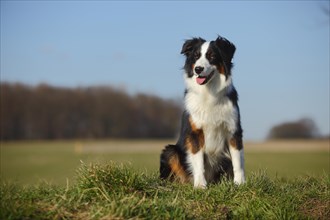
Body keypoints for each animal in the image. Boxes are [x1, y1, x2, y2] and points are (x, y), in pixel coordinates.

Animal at [159, 36, 246, 189]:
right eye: (196, 56)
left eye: (212, 56)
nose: (198, 69)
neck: (209, 92)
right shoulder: (195, 132)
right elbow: (198, 161)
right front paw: (200, 185)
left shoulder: (233, 130)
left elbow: (237, 161)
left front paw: (239, 183)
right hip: (170, 151)